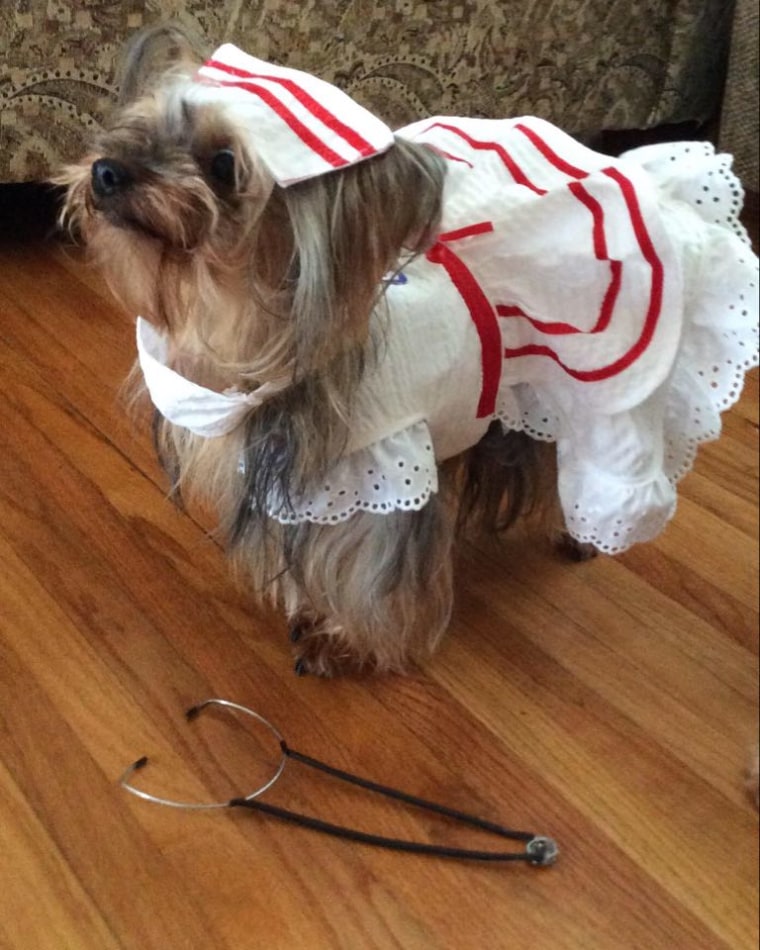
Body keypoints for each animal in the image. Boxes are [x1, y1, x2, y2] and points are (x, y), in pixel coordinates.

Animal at [58, 27, 756, 676]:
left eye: (223, 165)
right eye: (141, 129)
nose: (105, 171)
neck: (243, 330)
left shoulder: (379, 480)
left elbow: (367, 579)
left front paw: (345, 642)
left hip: (608, 386)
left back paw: (584, 536)